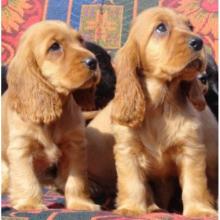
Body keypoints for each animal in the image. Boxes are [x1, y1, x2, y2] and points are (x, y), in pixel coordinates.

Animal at [1, 20, 100, 211]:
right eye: (55, 47)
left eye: (80, 41)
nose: (93, 61)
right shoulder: (21, 147)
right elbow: (26, 179)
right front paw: (30, 204)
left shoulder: (75, 146)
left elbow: (76, 180)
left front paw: (80, 203)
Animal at [85, 6, 217, 217]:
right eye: (161, 28)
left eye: (190, 26)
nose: (199, 42)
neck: (161, 104)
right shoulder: (127, 150)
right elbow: (134, 184)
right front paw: (131, 208)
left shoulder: (191, 149)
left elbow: (194, 184)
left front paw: (199, 210)